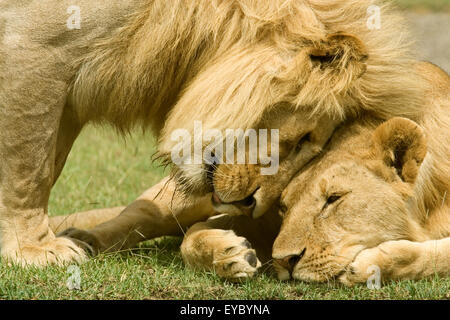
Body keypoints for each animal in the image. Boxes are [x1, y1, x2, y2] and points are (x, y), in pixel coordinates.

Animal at [0, 0, 426, 264]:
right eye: (307, 138)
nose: (252, 205)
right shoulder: (35, 47)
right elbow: (29, 169)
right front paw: (35, 251)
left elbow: (47, 163)